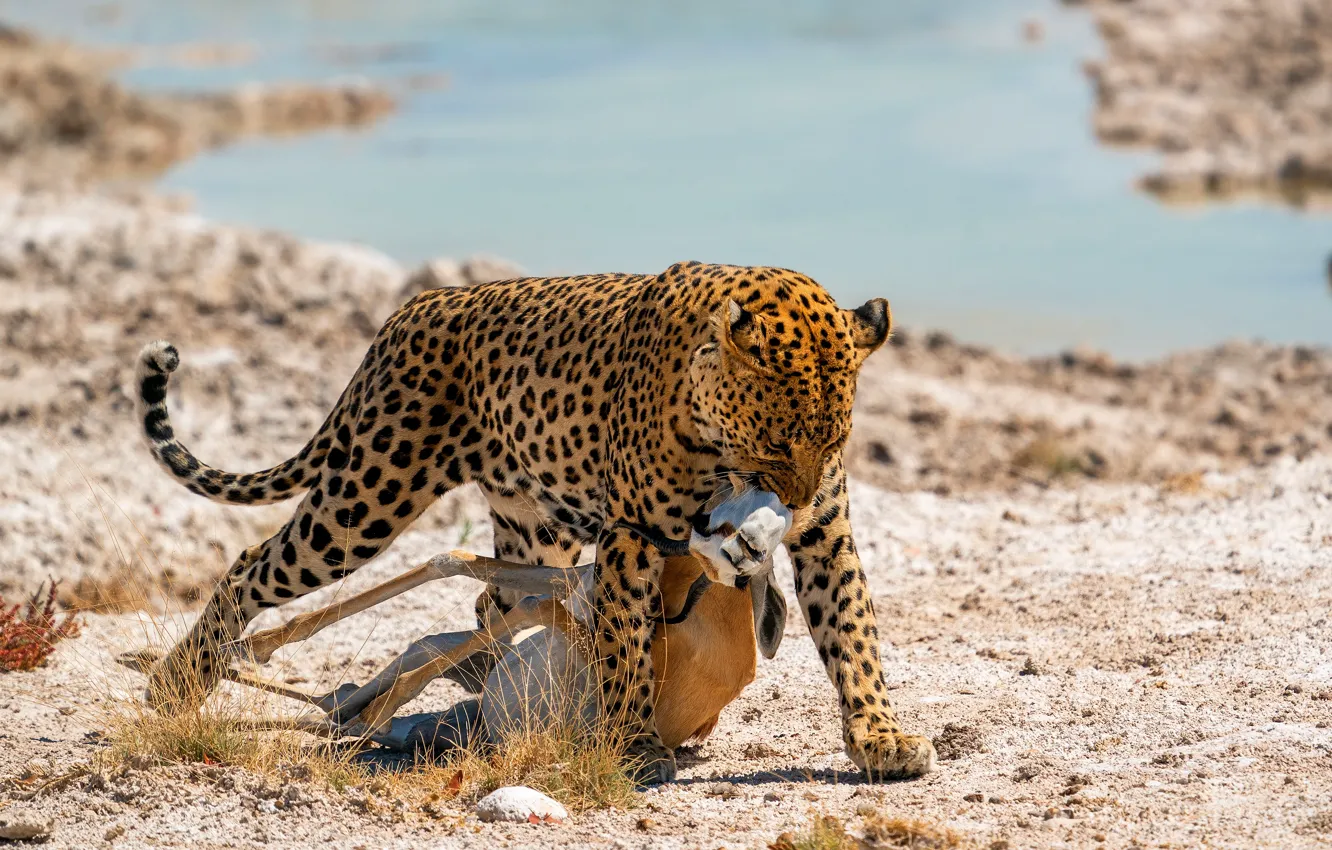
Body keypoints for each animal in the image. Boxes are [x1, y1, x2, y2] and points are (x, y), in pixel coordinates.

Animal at [129, 259, 932, 788]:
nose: (792, 503)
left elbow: (852, 632)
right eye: (775, 443)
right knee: (254, 564)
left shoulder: (826, 535)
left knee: (491, 602)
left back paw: (473, 684)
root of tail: (409, 312)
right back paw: (178, 683)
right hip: (366, 497)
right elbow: (627, 646)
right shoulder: (631, 535)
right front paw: (634, 741)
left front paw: (879, 737)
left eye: (832, 442)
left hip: (533, 531)